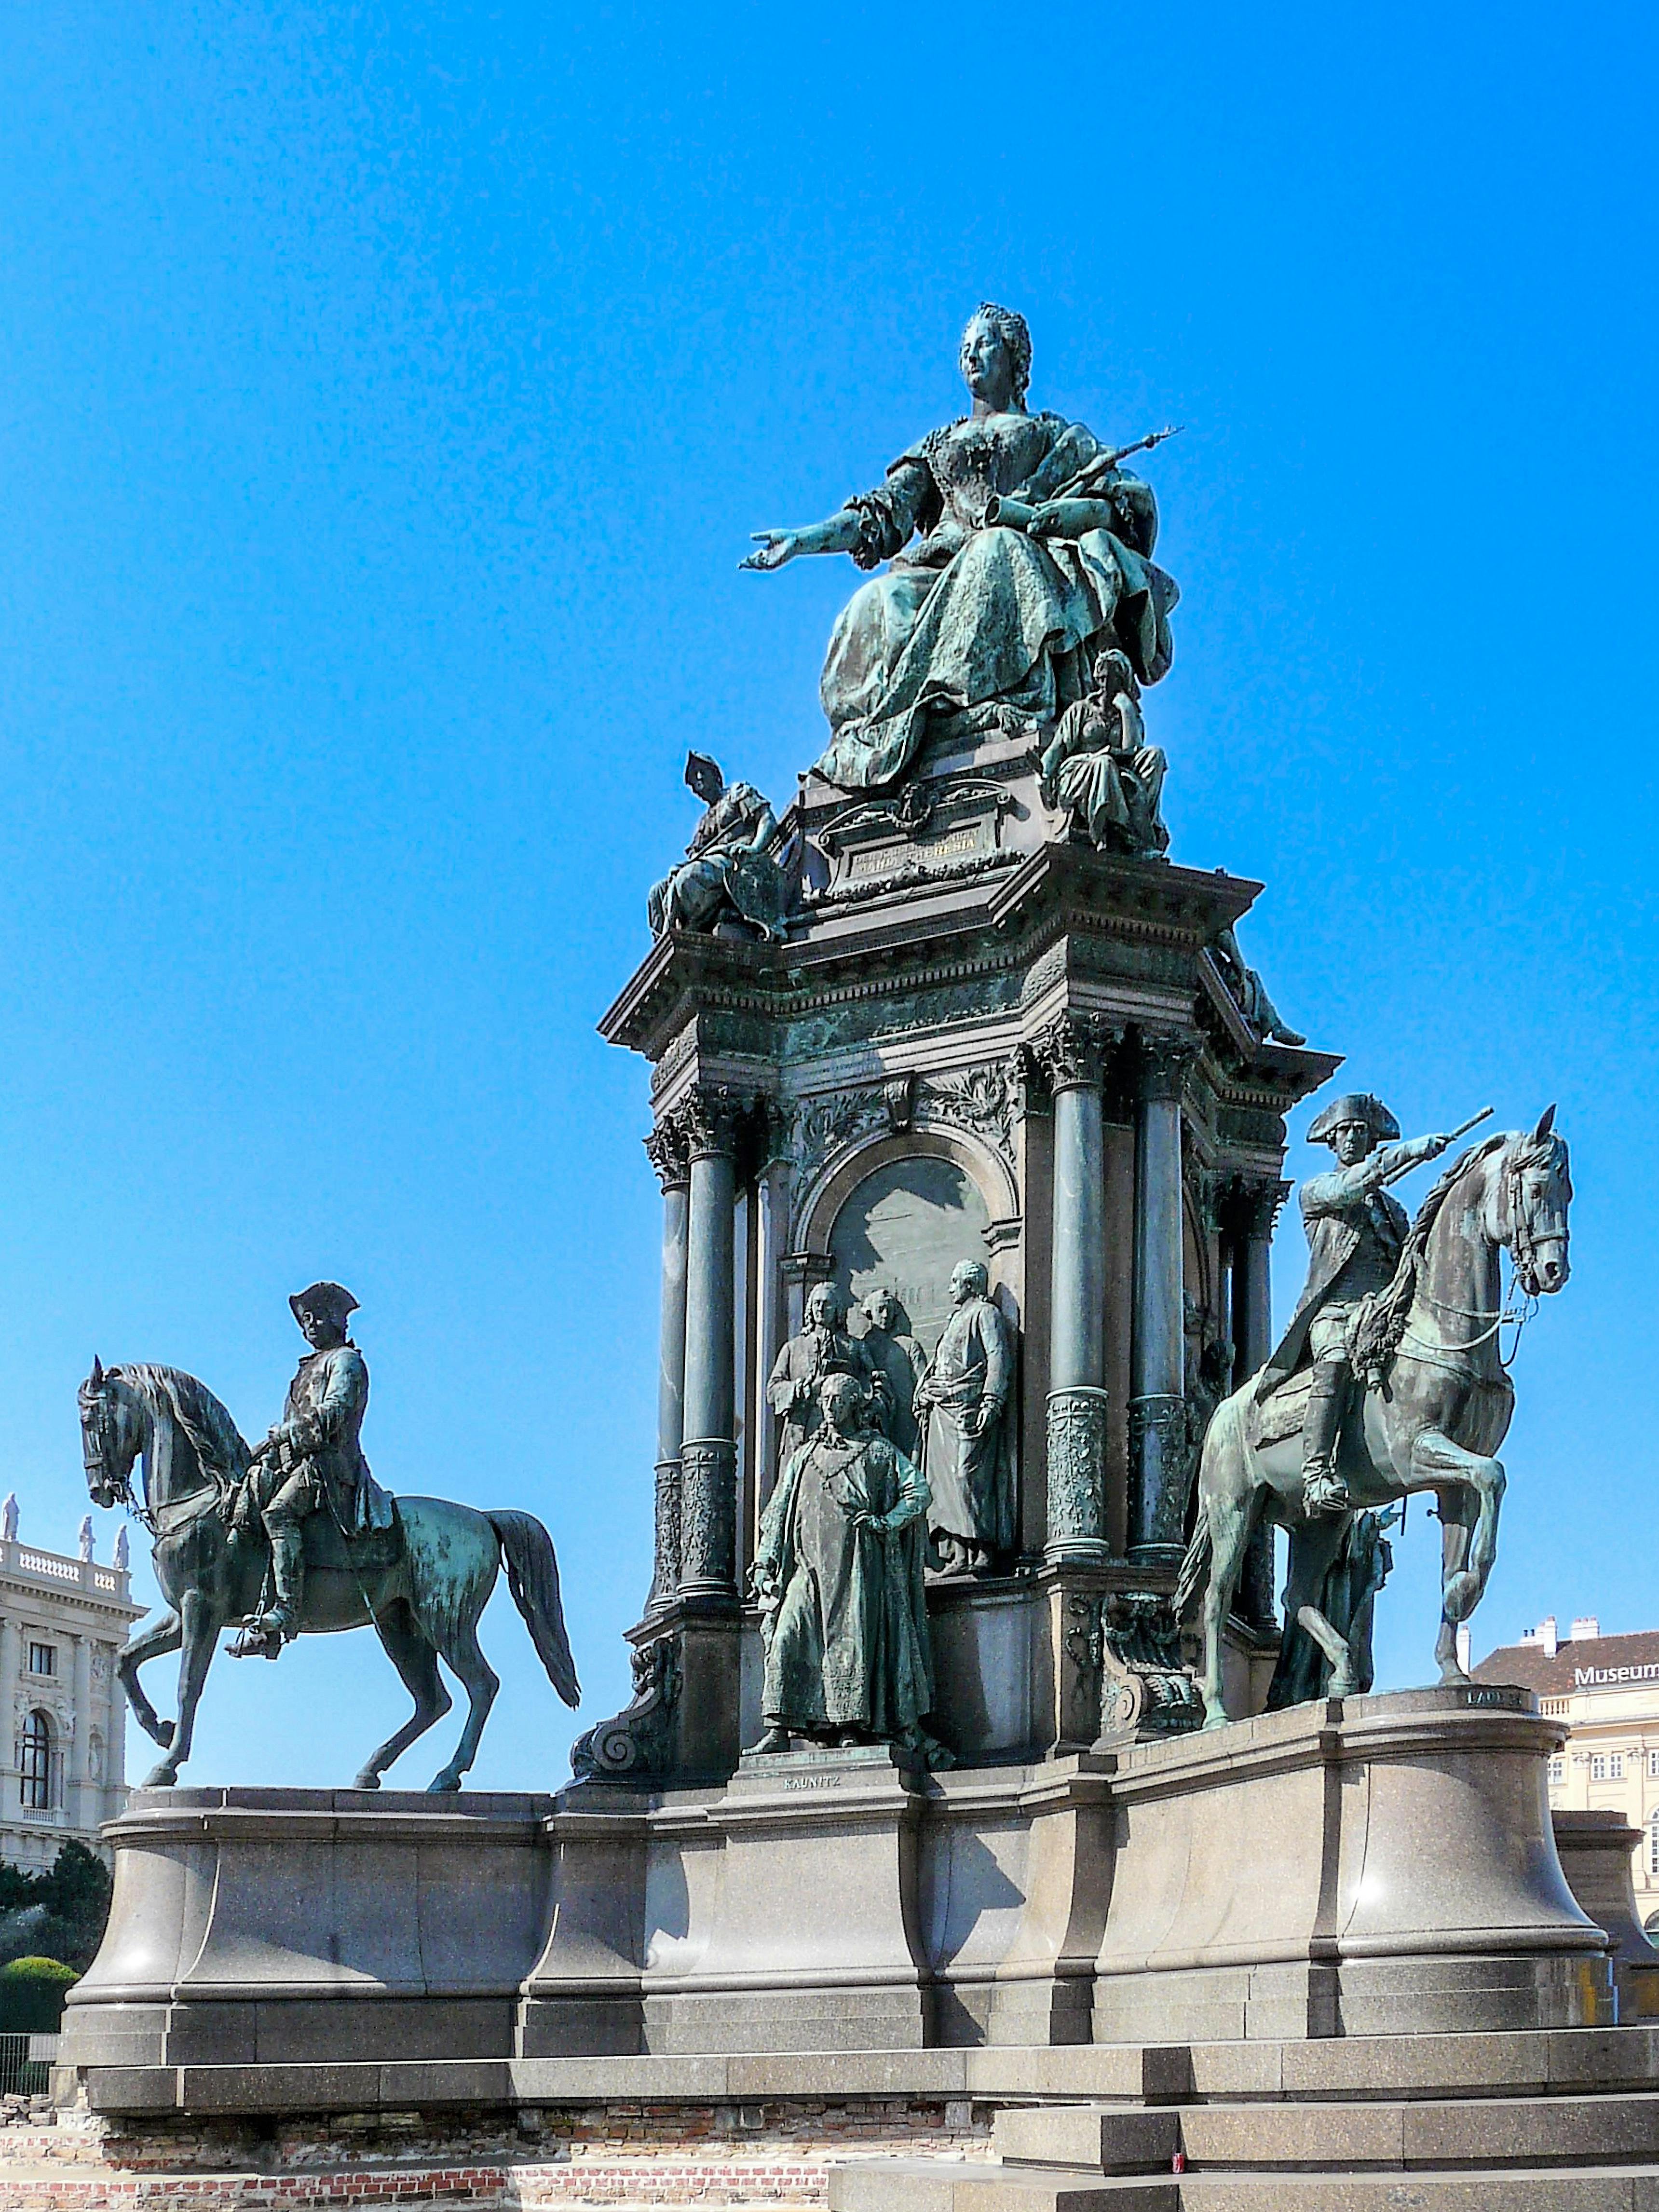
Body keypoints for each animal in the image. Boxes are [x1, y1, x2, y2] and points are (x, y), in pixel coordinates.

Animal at [81, 1353, 584, 1787]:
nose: (98, 1489)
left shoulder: (202, 1608)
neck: (205, 1501)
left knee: (481, 1686)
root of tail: (482, 1517)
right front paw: (159, 1729)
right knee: (431, 1700)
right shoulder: (183, 1614)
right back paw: (371, 1772)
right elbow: (127, 1661)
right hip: (400, 1624)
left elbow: (188, 1685)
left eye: (91, 1420)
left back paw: (447, 1775)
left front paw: (167, 1764)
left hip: (445, 1619)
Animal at [1185, 1106, 1575, 1725]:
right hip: (1233, 1512)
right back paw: (1219, 1713)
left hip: (1318, 1519)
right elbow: (1494, 1477)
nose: (1553, 1267)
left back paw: (1342, 1673)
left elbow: (1463, 1534)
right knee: (1215, 1600)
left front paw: (1451, 1662)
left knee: (1297, 1596)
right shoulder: (1417, 1455)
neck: (1444, 1332)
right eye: (1536, 1188)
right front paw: (1467, 1589)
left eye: (1567, 1190)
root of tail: (1222, 1408)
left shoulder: (1454, 1481)